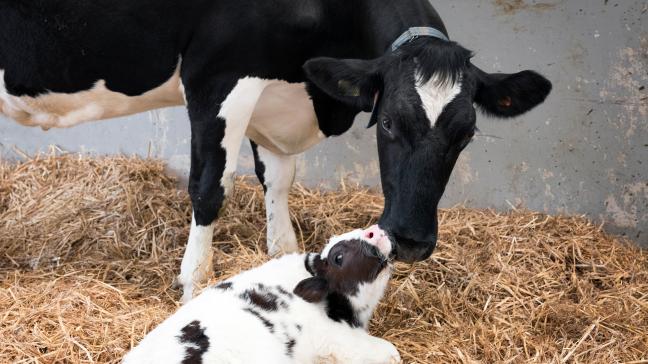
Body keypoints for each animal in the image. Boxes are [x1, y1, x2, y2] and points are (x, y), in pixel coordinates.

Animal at [0, 0, 552, 302]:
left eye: (468, 134)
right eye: (389, 122)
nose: (413, 241)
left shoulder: (276, 95)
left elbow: (279, 181)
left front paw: (285, 260)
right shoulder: (218, 77)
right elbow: (209, 186)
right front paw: (195, 283)